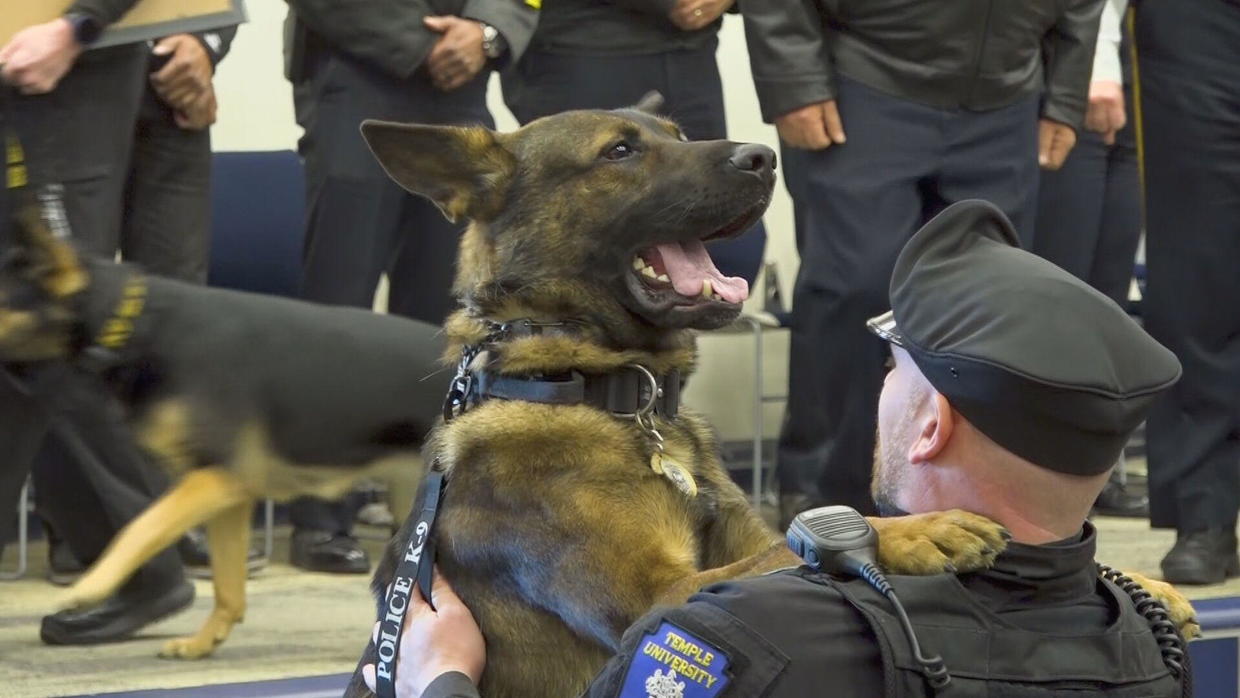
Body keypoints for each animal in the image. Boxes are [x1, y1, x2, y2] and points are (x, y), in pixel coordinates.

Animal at [0, 202, 448, 659]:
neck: (133, 319)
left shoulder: (215, 479)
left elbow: (139, 527)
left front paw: (93, 585)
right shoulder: (228, 495)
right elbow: (227, 586)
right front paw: (203, 641)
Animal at [347, 95, 1016, 694]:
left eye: (679, 135)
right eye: (619, 151)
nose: (764, 158)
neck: (602, 390)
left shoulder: (734, 553)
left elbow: (787, 546)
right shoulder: (663, 597)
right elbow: (787, 557)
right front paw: (917, 531)